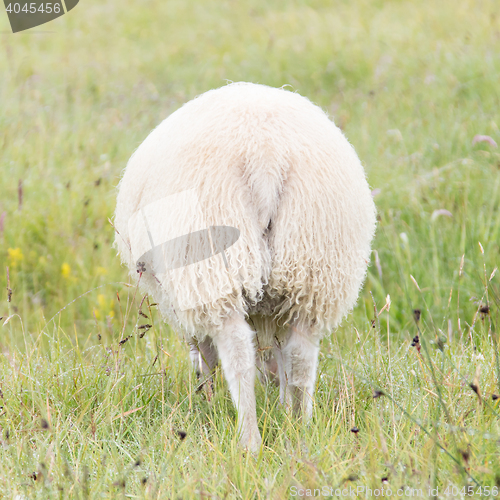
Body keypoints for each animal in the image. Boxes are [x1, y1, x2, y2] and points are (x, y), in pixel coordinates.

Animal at [115, 81, 376, 450]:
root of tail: (265, 157)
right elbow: (280, 360)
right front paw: (283, 406)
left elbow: (204, 353)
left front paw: (208, 399)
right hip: (315, 264)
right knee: (300, 355)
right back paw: (301, 429)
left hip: (214, 258)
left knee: (238, 353)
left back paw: (249, 440)